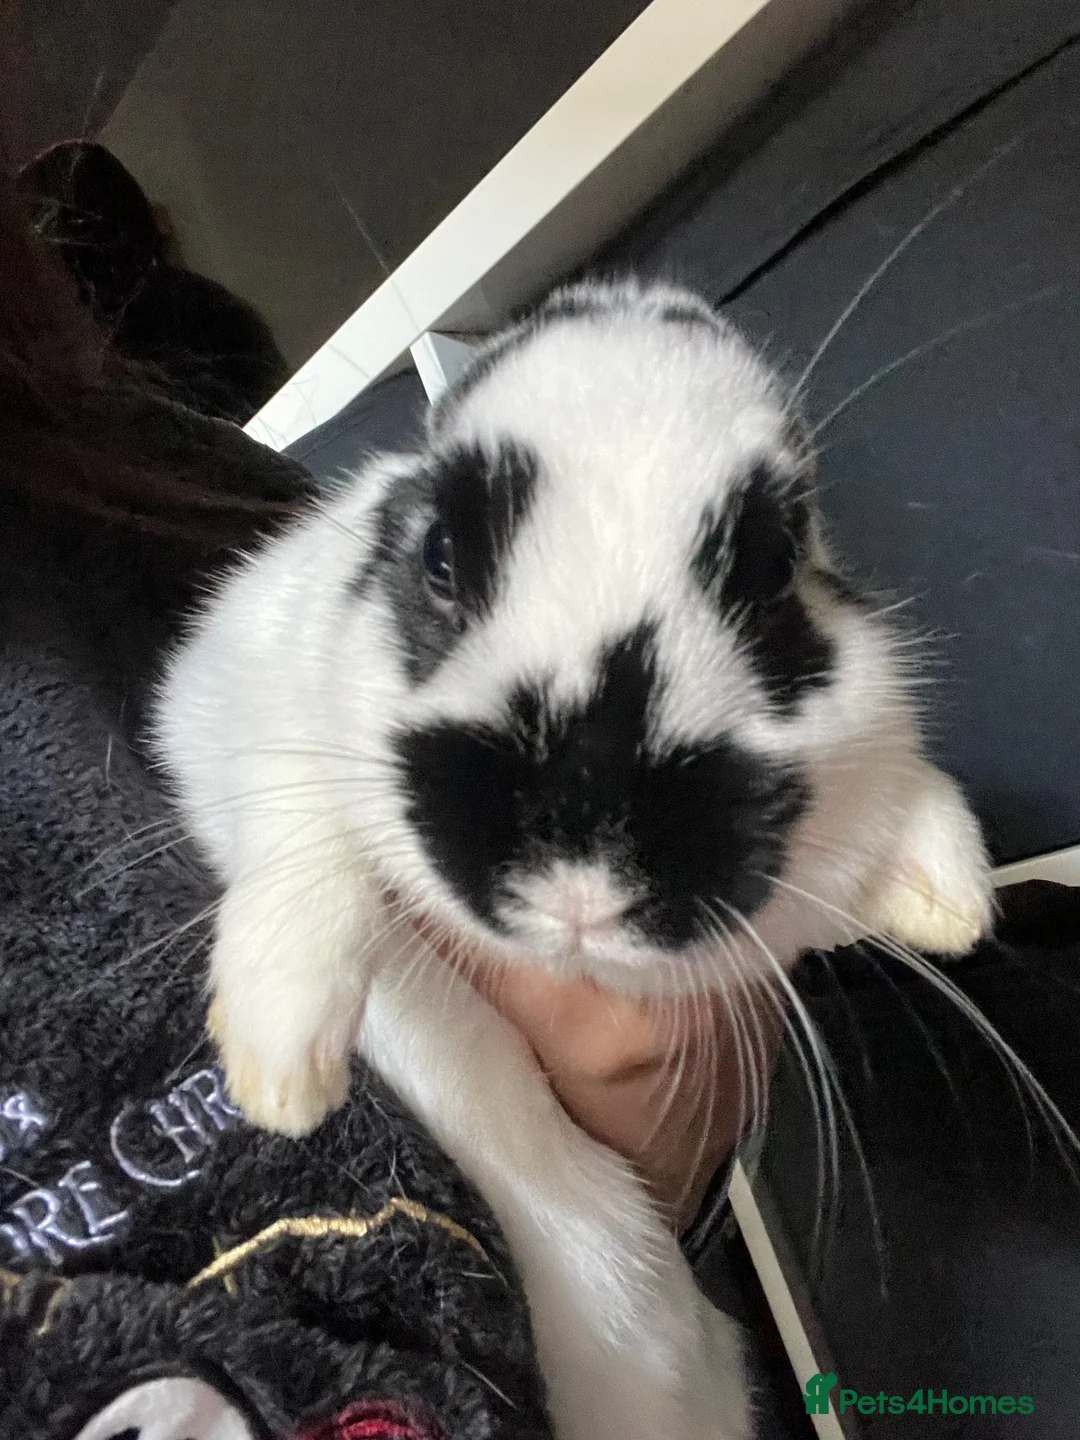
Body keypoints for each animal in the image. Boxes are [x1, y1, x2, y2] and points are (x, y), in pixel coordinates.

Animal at [154, 279, 993, 1440]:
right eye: (438, 554)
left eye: (777, 565)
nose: (581, 883)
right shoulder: (230, 699)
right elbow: (304, 832)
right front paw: (282, 1071)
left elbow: (897, 804)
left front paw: (948, 897)